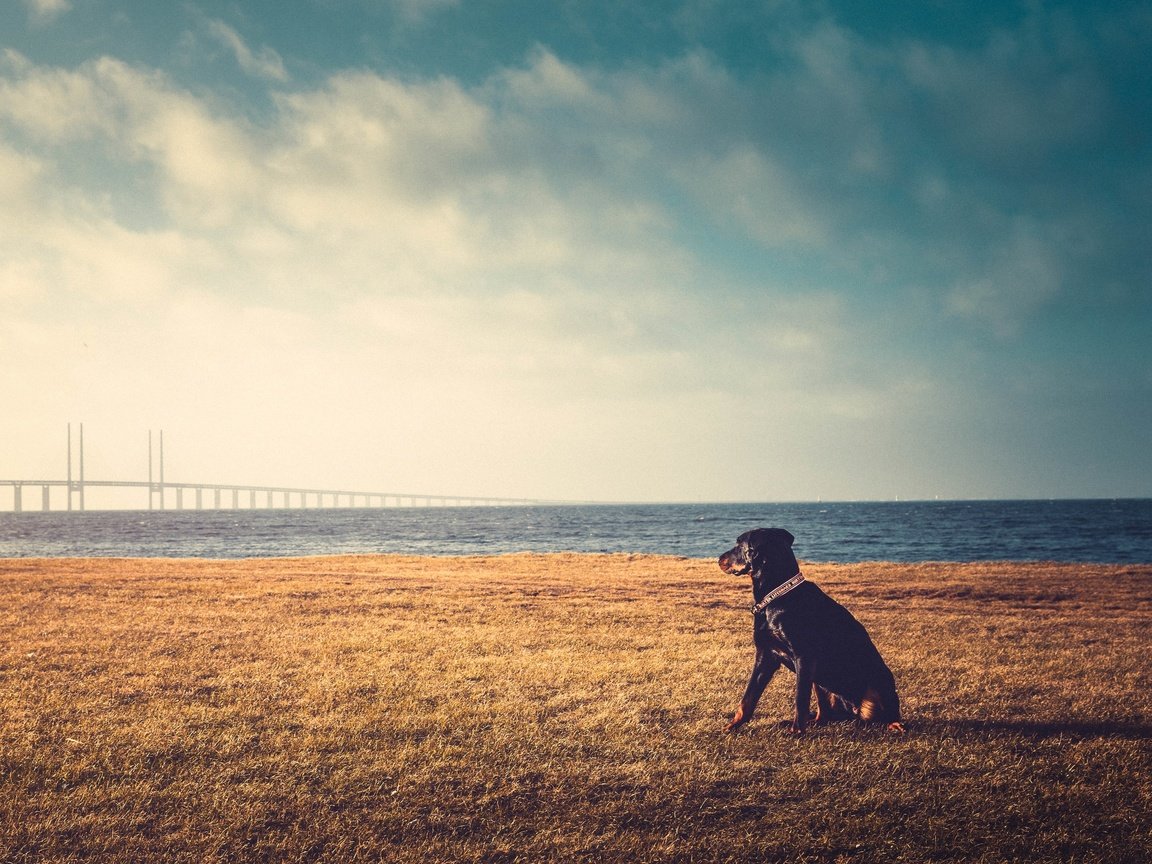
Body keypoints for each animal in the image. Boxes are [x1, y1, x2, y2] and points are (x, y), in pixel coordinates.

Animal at [718, 527, 898, 737]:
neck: (777, 595)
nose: (719, 558)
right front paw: (732, 726)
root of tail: (853, 712)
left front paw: (796, 732)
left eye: (740, 544)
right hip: (820, 682)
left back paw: (895, 725)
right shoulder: (765, 655)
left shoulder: (803, 657)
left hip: (880, 679)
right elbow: (748, 697)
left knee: (889, 711)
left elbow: (800, 699)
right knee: (825, 713)